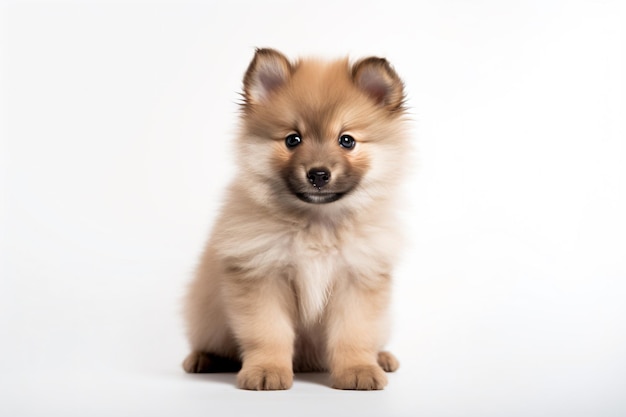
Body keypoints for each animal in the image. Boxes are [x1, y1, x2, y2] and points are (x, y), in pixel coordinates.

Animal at [184, 48, 410, 390]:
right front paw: (266, 370)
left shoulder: (357, 278)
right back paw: (203, 358)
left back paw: (382, 357)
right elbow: (268, 332)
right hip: (208, 317)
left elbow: (353, 333)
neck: (317, 223)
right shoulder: (262, 274)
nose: (318, 174)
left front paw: (358, 369)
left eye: (347, 140)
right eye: (293, 140)